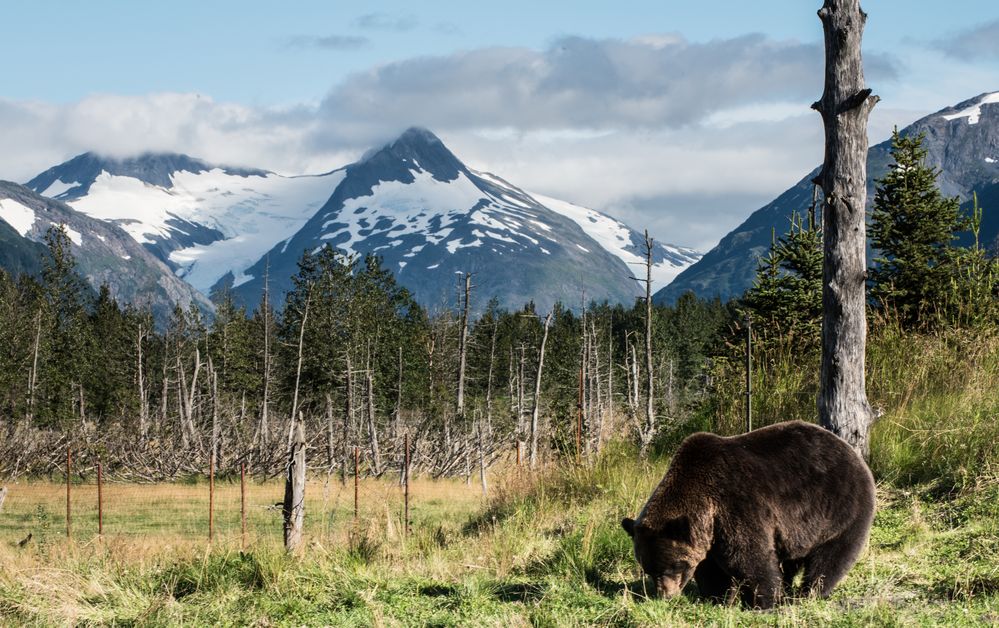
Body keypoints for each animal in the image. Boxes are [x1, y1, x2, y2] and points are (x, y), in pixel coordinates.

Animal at [624, 422, 876, 608]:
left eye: (673, 566)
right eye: (648, 569)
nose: (665, 595)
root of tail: (851, 451)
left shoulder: (737, 505)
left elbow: (748, 557)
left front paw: (762, 601)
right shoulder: (710, 532)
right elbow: (712, 569)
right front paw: (718, 598)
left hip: (841, 511)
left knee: (830, 559)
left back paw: (809, 593)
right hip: (801, 529)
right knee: (791, 559)